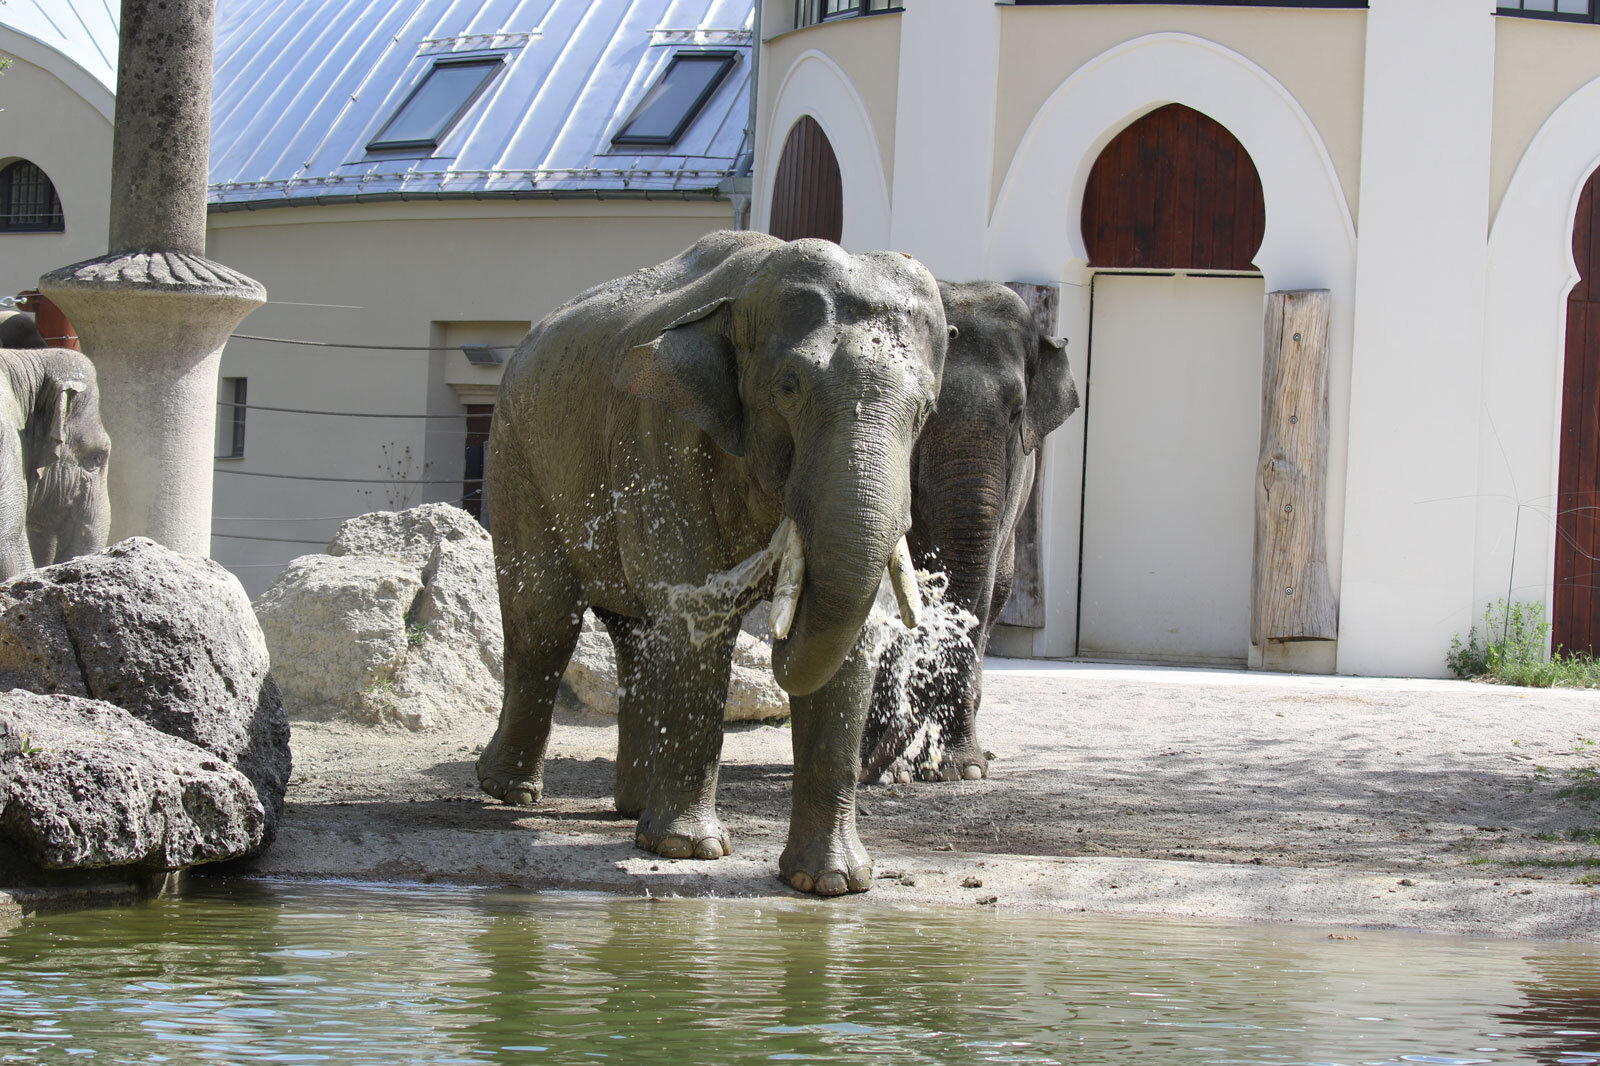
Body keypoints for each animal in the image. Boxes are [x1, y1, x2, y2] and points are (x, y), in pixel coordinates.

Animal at [476, 230, 947, 889]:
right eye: (789, 387)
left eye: (925, 409)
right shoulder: (659, 432)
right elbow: (698, 612)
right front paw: (688, 850)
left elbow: (850, 643)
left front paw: (831, 884)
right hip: (515, 450)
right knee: (545, 618)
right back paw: (510, 792)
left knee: (637, 634)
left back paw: (630, 811)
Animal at [864, 280, 1075, 781]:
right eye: (922, 412)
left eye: (1018, 412)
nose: (875, 768)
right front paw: (892, 768)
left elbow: (976, 587)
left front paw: (963, 771)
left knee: (995, 592)